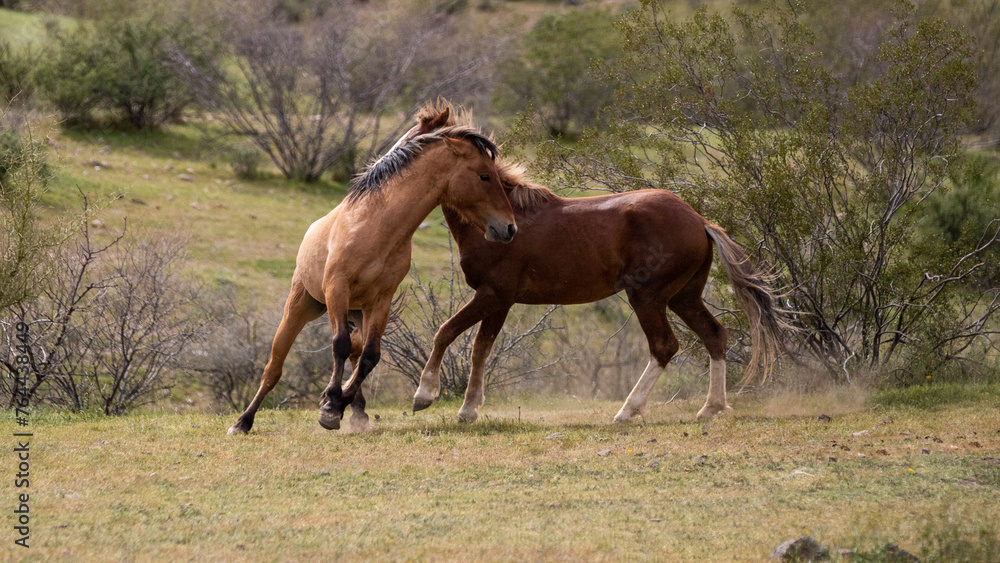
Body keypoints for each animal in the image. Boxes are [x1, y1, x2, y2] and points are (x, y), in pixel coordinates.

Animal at [227, 120, 517, 435]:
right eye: (485, 176)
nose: (509, 228)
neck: (376, 227)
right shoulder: (336, 290)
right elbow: (340, 345)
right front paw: (330, 408)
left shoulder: (381, 301)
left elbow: (370, 356)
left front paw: (335, 404)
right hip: (302, 306)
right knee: (274, 366)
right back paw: (243, 422)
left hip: (359, 312)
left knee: (357, 355)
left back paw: (355, 411)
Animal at [405, 109, 785, 424]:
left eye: (418, 142)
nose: (507, 231)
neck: (497, 221)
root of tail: (700, 221)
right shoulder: (500, 301)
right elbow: (480, 349)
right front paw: (469, 409)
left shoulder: (493, 295)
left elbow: (446, 332)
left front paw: (424, 395)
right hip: (684, 296)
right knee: (714, 335)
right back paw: (711, 408)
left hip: (647, 297)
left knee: (664, 346)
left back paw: (627, 411)